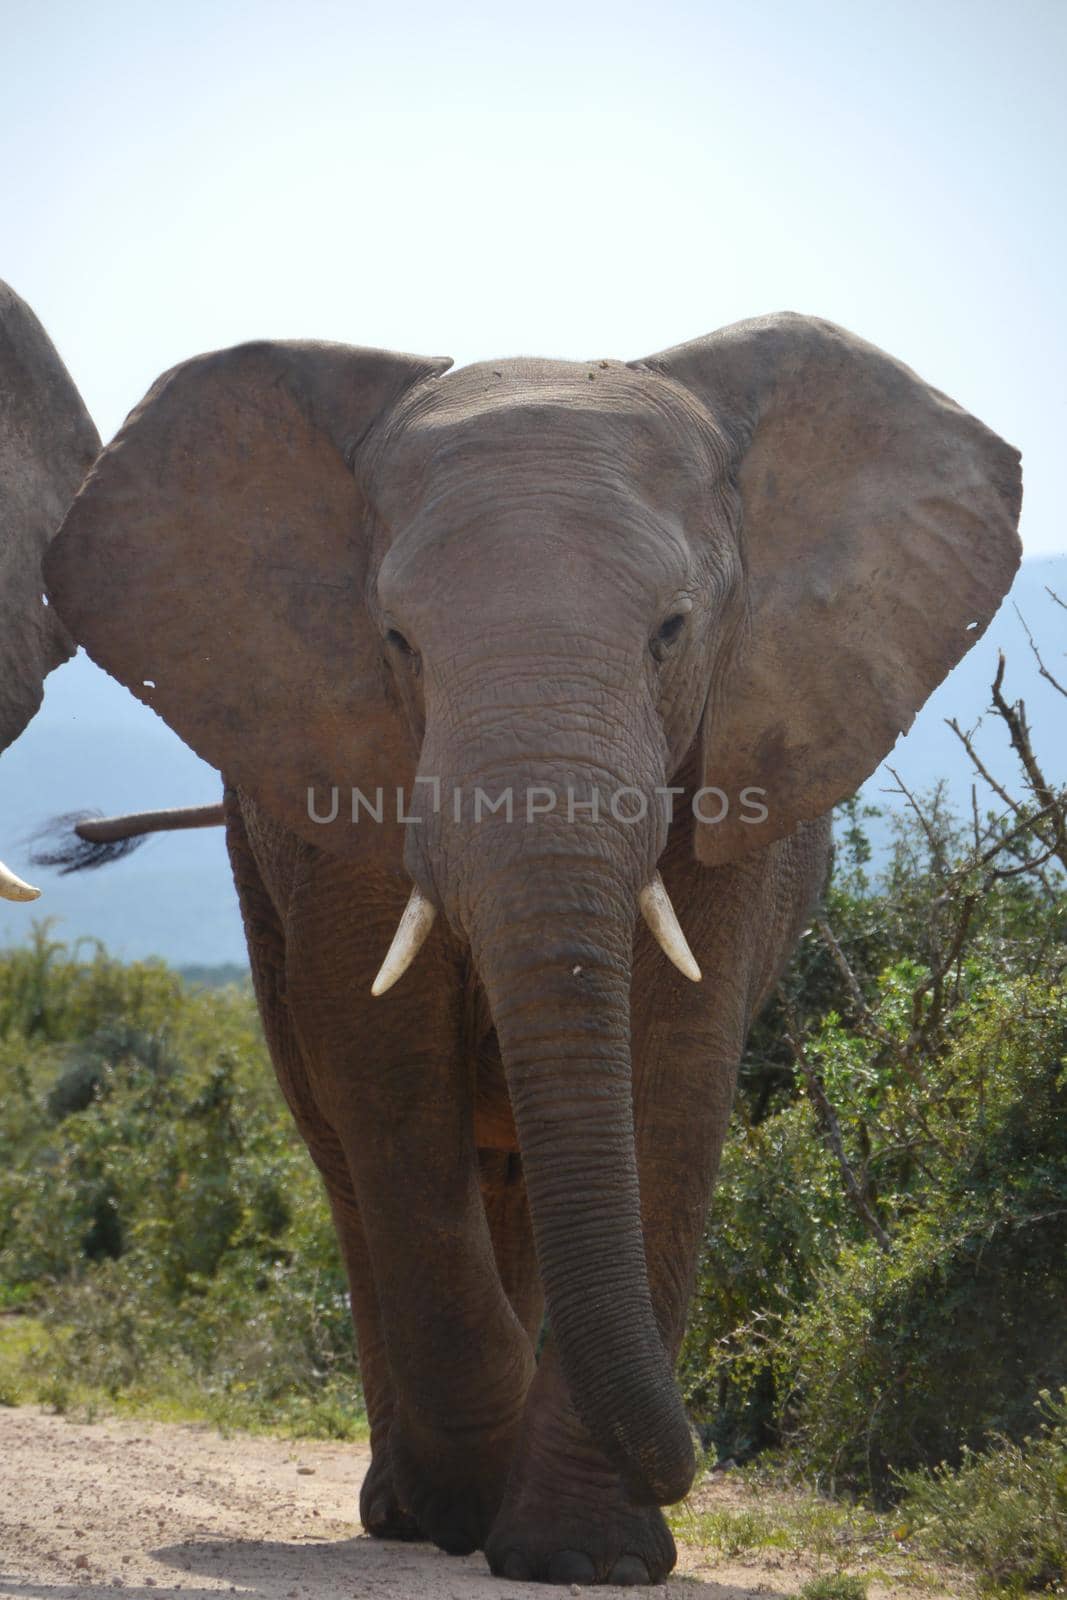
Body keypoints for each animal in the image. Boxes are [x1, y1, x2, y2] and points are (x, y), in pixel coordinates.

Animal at [27, 305, 1023, 1580]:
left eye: (670, 632)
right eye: (396, 640)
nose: (694, 1456)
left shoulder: (735, 753)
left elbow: (672, 1069)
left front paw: (581, 1556)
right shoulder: (337, 779)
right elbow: (387, 1073)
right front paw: (476, 1503)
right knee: (349, 1156)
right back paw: (411, 1510)